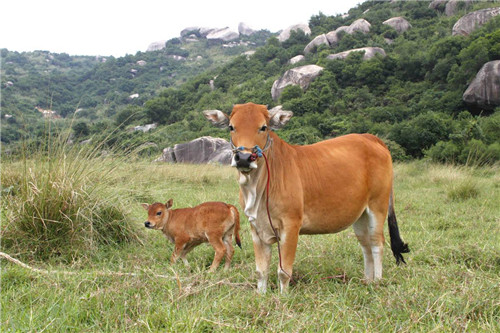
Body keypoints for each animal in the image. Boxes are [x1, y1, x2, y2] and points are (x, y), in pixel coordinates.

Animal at [204, 102, 410, 292]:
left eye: (263, 127)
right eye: (231, 127)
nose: (244, 158)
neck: (258, 187)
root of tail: (371, 137)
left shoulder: (291, 225)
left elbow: (283, 271)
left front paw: (283, 297)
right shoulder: (256, 227)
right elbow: (261, 271)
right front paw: (261, 296)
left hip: (378, 206)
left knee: (377, 243)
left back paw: (377, 282)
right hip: (360, 215)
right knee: (365, 245)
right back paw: (366, 280)